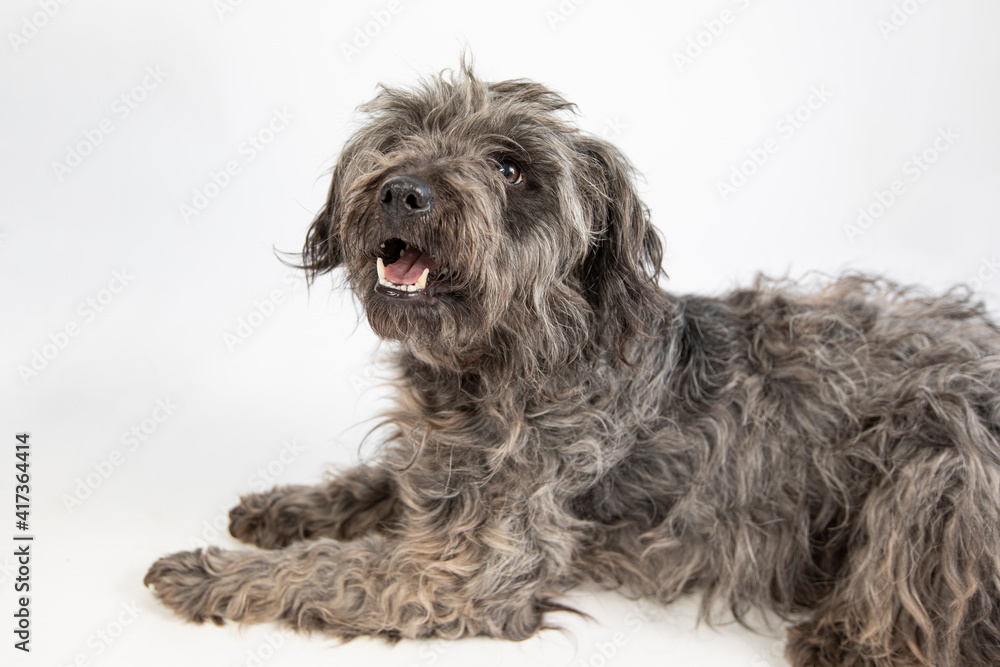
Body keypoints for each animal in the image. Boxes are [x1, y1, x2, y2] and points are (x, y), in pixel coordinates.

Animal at [145, 64, 1000, 667]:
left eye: (511, 168)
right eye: (403, 135)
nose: (402, 190)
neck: (512, 355)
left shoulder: (469, 569)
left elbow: (326, 570)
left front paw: (210, 573)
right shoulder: (436, 467)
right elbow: (371, 483)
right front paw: (282, 507)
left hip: (941, 462)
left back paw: (842, 637)